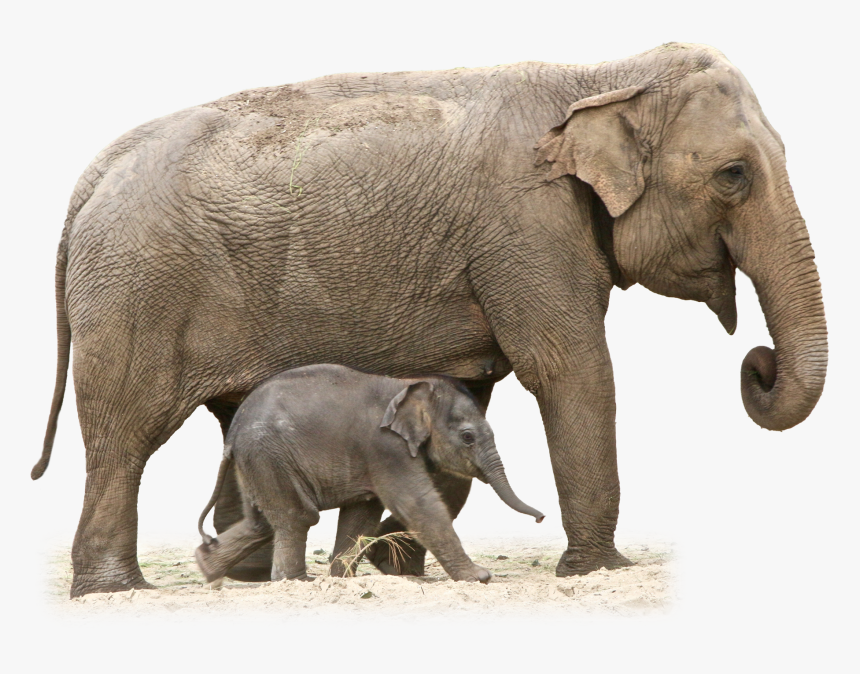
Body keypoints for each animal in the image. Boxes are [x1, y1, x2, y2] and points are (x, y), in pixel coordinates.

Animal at [194, 364, 544, 584]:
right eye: (468, 437)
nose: (541, 518)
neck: (410, 384)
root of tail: (232, 435)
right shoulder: (385, 448)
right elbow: (417, 504)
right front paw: (480, 578)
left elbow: (361, 515)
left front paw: (341, 579)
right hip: (268, 455)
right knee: (298, 517)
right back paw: (296, 581)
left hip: (258, 461)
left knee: (262, 522)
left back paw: (207, 569)